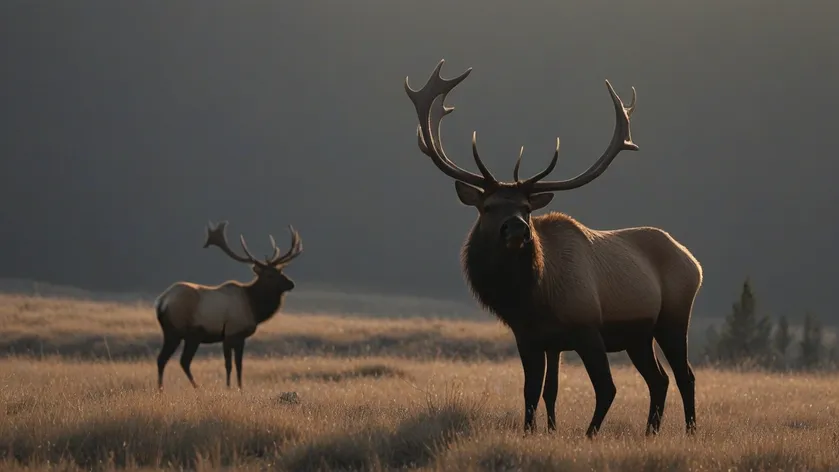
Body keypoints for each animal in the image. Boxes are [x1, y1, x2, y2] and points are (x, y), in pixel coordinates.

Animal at [156, 221, 304, 390]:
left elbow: (239, 365)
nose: (291, 284)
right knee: (175, 360)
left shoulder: (241, 337)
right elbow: (228, 365)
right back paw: (188, 388)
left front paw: (240, 388)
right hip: (179, 331)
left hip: (181, 334)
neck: (254, 307)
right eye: (269, 275)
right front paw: (228, 387)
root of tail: (161, 301)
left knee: (170, 360)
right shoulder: (230, 332)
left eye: (280, 271)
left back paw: (167, 389)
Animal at [406, 60, 704, 438]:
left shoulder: (586, 327)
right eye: (488, 207)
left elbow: (606, 388)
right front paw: (534, 431)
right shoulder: (533, 338)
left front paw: (588, 435)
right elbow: (539, 391)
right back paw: (651, 431)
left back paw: (689, 430)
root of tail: (694, 262)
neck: (534, 297)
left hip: (673, 317)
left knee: (683, 375)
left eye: (526, 209)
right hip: (638, 335)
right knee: (659, 379)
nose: (517, 228)